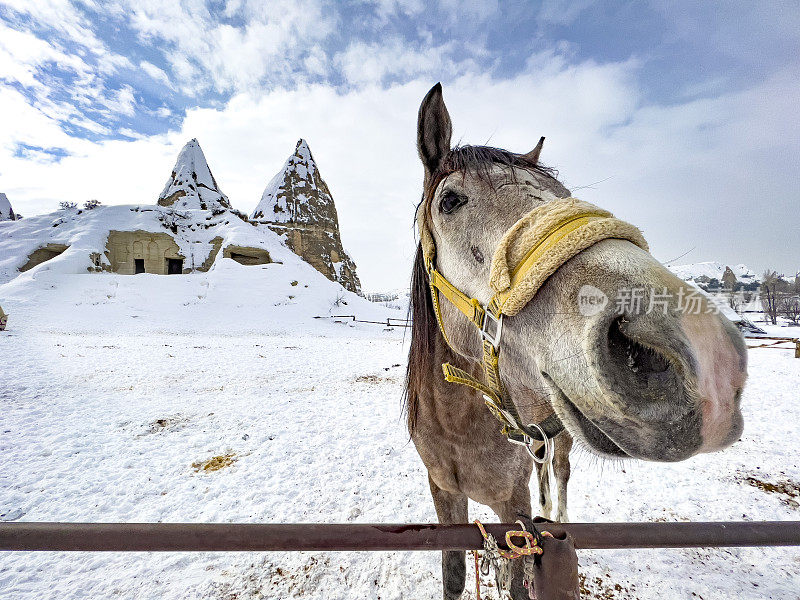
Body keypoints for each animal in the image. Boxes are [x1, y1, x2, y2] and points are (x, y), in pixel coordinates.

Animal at [406, 84, 752, 600]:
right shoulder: (443, 495)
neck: (458, 426)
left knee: (562, 474)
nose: (706, 353)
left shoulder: (512, 513)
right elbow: (453, 576)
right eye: (449, 201)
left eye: (565, 197)